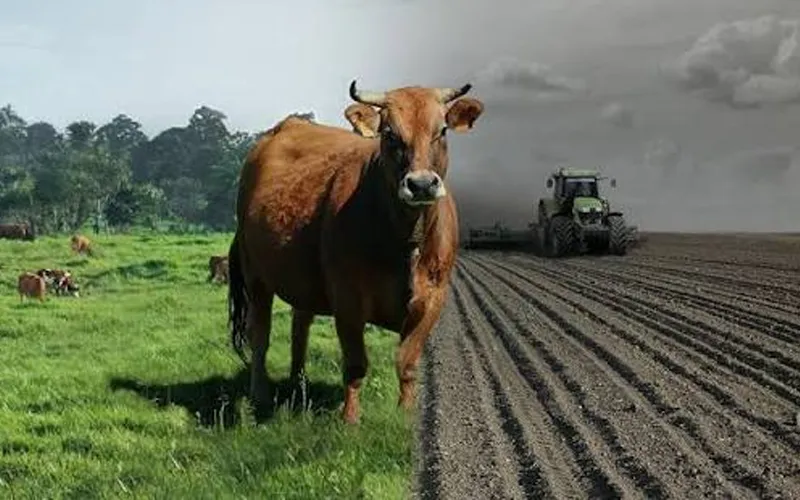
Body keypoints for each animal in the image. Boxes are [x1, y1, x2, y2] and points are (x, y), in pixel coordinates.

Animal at [228, 79, 484, 424]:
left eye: (442, 130)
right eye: (389, 133)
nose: (420, 185)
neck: (405, 238)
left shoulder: (433, 297)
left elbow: (407, 362)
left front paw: (407, 414)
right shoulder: (347, 297)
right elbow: (355, 363)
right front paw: (350, 419)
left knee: (299, 327)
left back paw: (298, 383)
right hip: (255, 275)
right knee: (260, 335)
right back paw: (261, 394)